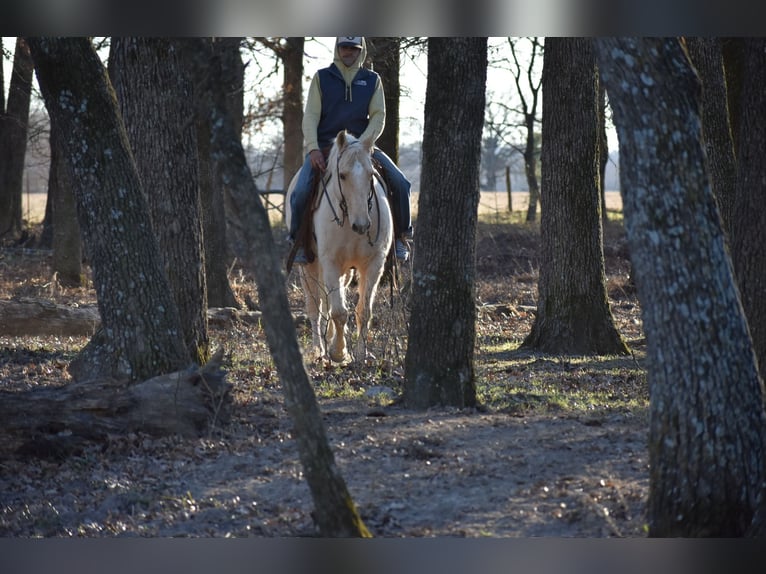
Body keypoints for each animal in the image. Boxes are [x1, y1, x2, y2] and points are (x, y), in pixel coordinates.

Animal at [285, 130, 394, 363]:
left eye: (371, 175)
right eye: (342, 175)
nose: (361, 225)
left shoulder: (373, 264)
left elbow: (364, 311)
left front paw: (361, 354)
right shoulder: (330, 262)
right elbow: (338, 312)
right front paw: (338, 352)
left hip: (345, 271)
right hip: (308, 266)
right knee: (315, 307)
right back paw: (319, 349)